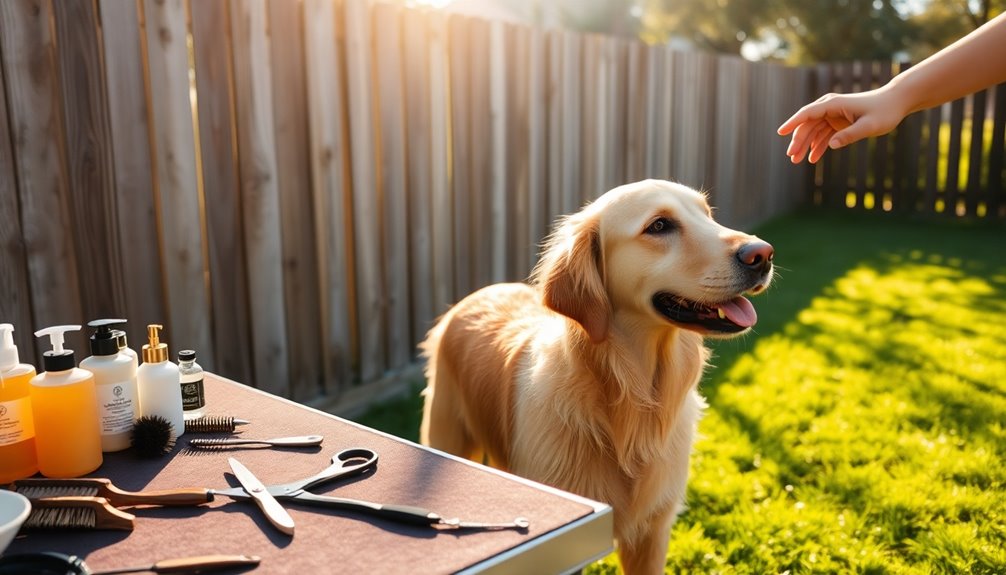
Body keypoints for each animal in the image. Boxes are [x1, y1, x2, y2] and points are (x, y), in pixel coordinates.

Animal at [420, 179, 772, 575]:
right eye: (659, 226)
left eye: (708, 215)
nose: (763, 254)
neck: (633, 394)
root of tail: (483, 291)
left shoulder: (653, 532)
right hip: (446, 436)